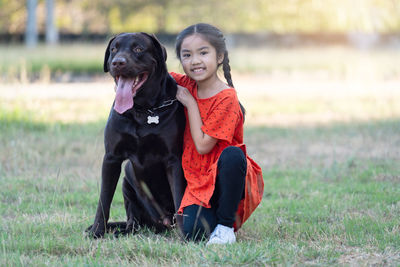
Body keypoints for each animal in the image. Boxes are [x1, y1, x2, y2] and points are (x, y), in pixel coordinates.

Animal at [86, 33, 186, 239]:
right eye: (114, 49)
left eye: (138, 49)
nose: (118, 62)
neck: (143, 110)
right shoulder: (112, 158)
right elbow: (104, 199)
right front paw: (97, 231)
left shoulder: (174, 159)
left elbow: (179, 196)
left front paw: (185, 236)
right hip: (127, 179)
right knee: (133, 221)